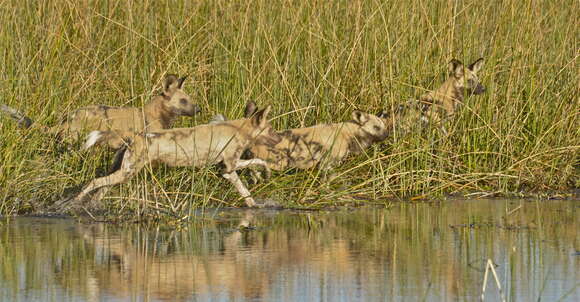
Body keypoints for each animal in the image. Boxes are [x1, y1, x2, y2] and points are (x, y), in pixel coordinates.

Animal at [64, 102, 280, 209]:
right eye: (271, 129)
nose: (279, 139)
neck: (240, 129)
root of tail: (134, 137)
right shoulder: (229, 166)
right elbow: (258, 161)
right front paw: (266, 173)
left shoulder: (228, 171)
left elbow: (245, 190)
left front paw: (254, 201)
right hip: (127, 173)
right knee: (93, 182)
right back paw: (74, 202)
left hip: (122, 174)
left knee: (100, 189)